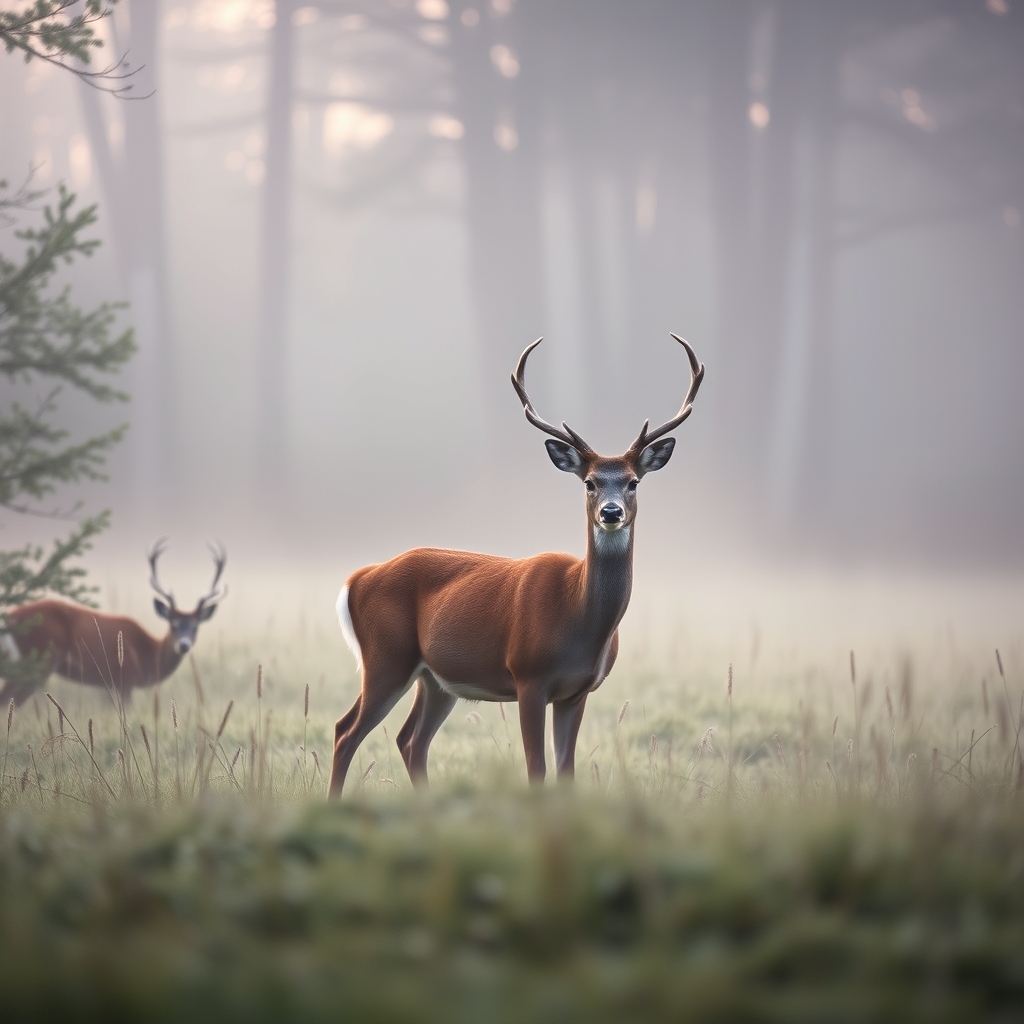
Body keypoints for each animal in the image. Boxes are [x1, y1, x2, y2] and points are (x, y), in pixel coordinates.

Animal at [0, 540, 226, 707]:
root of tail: (10, 617)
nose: (184, 645)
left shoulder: (112, 686)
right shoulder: (125, 679)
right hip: (35, 660)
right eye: (173, 625)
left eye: (196, 627)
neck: (147, 654)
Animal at [328, 333, 704, 797]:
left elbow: (566, 771)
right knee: (346, 730)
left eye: (633, 482)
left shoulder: (577, 691)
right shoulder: (528, 676)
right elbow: (536, 769)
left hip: (434, 679)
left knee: (409, 739)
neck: (577, 618)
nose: (611, 511)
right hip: (386, 657)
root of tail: (357, 578)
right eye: (589, 482)